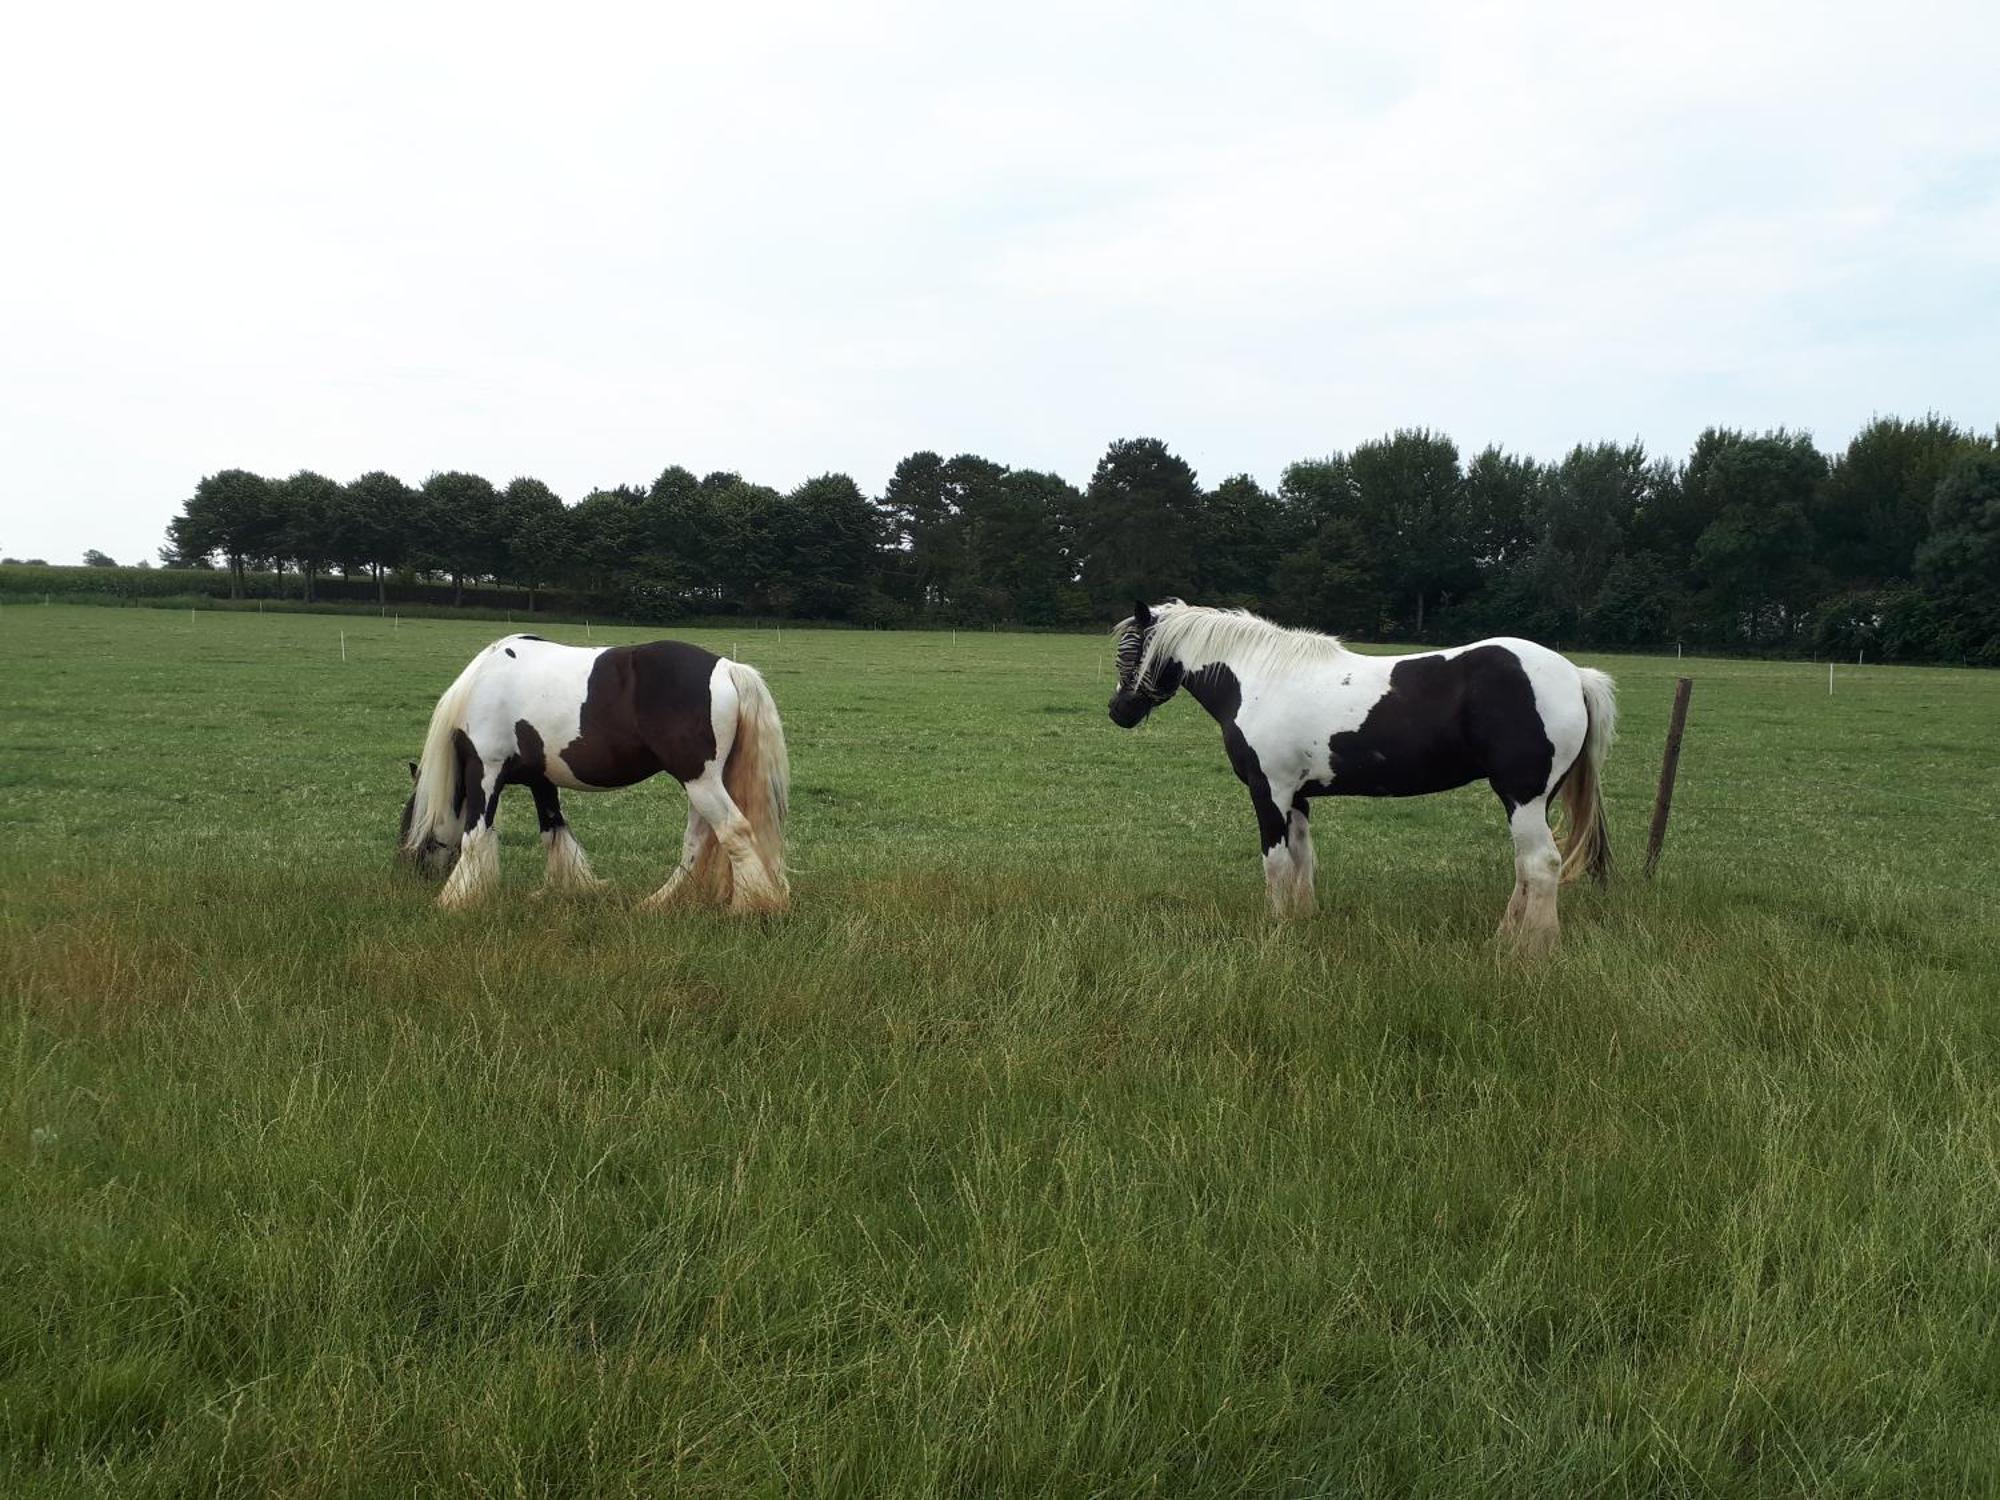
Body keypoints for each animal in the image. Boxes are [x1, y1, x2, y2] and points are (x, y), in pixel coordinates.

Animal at [398, 636, 788, 916]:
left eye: (409, 824)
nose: (410, 875)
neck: (483, 684)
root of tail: (726, 668)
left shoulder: (486, 770)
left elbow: (475, 835)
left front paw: (454, 900)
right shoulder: (541, 782)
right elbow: (553, 832)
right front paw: (562, 889)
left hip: (700, 781)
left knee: (733, 830)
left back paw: (752, 905)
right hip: (701, 783)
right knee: (697, 842)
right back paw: (657, 903)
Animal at [1104, 600, 1616, 952]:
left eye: (1131, 652)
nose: (1117, 711)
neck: (1258, 681)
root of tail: (1574, 675)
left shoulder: (1269, 792)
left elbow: (1276, 864)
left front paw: (1276, 926)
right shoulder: (1298, 797)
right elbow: (1303, 861)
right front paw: (1302, 920)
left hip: (1523, 797)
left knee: (1541, 865)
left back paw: (1530, 949)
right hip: (1531, 802)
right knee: (1526, 868)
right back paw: (1506, 936)